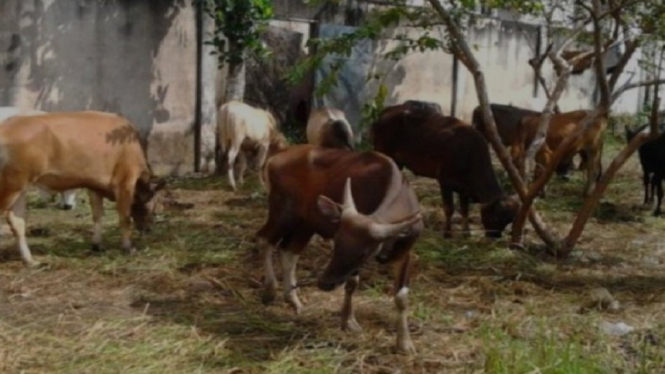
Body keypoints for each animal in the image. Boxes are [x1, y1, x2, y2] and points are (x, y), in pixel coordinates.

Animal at [0, 109, 166, 268]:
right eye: (152, 207)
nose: (148, 229)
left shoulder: (94, 185)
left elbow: (98, 215)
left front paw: (97, 245)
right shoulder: (125, 181)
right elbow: (124, 217)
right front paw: (128, 247)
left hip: (21, 188)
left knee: (17, 223)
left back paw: (30, 261)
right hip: (11, 187)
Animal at [256, 145, 422, 356]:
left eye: (364, 253)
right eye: (337, 241)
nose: (324, 283)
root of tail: (276, 157)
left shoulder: (405, 254)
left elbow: (401, 297)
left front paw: (405, 343)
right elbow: (351, 283)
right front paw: (348, 322)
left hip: (306, 224)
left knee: (288, 252)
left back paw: (294, 301)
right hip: (283, 212)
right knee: (265, 239)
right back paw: (270, 290)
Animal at [368, 102, 520, 238]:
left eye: (508, 221)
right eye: (496, 218)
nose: (495, 236)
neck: (468, 153)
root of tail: (387, 112)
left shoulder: (464, 189)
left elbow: (465, 210)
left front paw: (467, 233)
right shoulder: (445, 182)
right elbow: (449, 209)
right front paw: (447, 233)